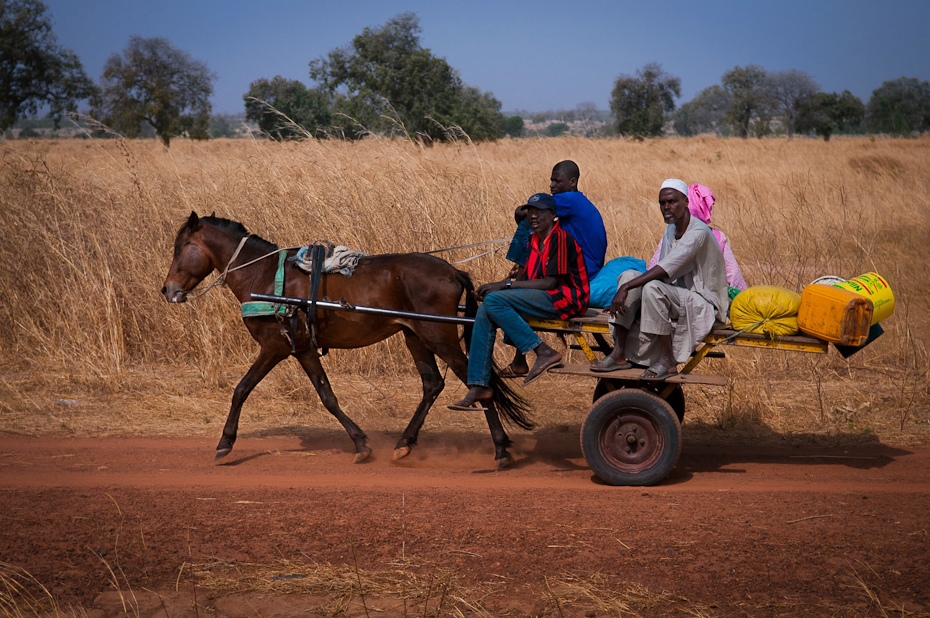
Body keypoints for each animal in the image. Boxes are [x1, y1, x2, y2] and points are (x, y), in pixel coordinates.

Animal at [160, 214, 528, 464]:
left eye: (181, 248)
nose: (167, 290)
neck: (265, 278)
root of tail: (452, 270)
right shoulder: (303, 348)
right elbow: (328, 396)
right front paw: (361, 443)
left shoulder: (274, 346)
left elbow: (241, 389)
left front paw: (225, 442)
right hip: (414, 335)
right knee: (432, 384)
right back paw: (404, 443)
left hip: (438, 336)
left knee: (476, 382)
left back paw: (500, 447)